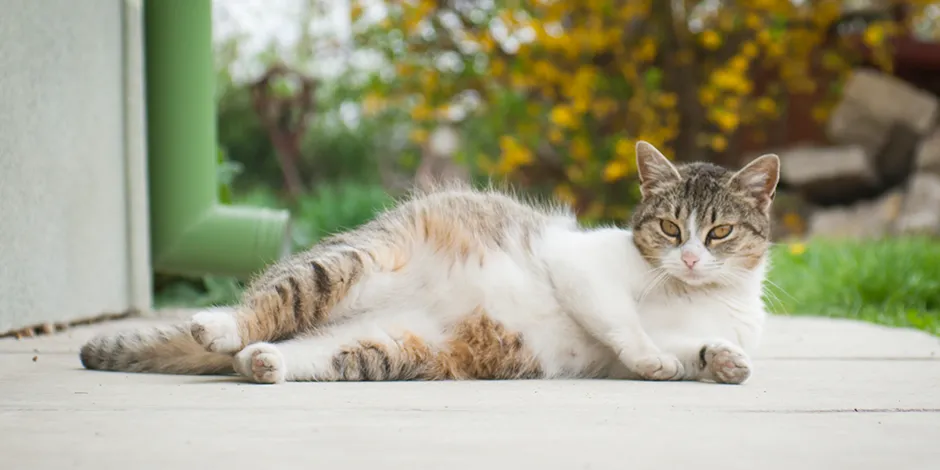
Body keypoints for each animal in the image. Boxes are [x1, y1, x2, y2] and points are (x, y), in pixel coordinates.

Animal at [79, 141, 780, 384]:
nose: (690, 258)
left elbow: (696, 349)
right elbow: (622, 323)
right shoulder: (579, 265)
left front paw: (724, 362)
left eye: (719, 231)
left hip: (381, 346)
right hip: (347, 264)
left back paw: (262, 363)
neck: (691, 295)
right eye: (670, 227)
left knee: (290, 350)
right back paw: (221, 326)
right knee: (264, 306)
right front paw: (654, 356)